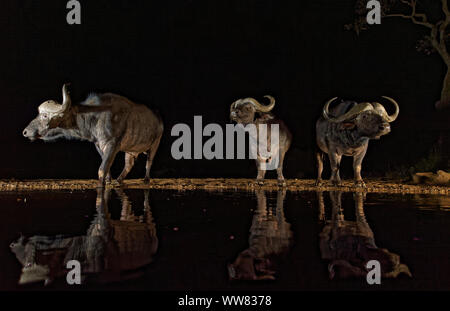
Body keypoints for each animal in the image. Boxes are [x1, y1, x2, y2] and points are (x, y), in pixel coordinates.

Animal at [22, 83, 163, 188]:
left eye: (45, 115)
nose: (25, 132)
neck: (95, 117)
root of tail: (158, 119)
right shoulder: (98, 145)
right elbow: (106, 167)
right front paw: (109, 180)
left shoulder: (112, 145)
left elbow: (102, 169)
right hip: (130, 149)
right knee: (129, 164)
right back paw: (119, 180)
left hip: (155, 144)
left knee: (149, 162)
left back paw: (146, 179)